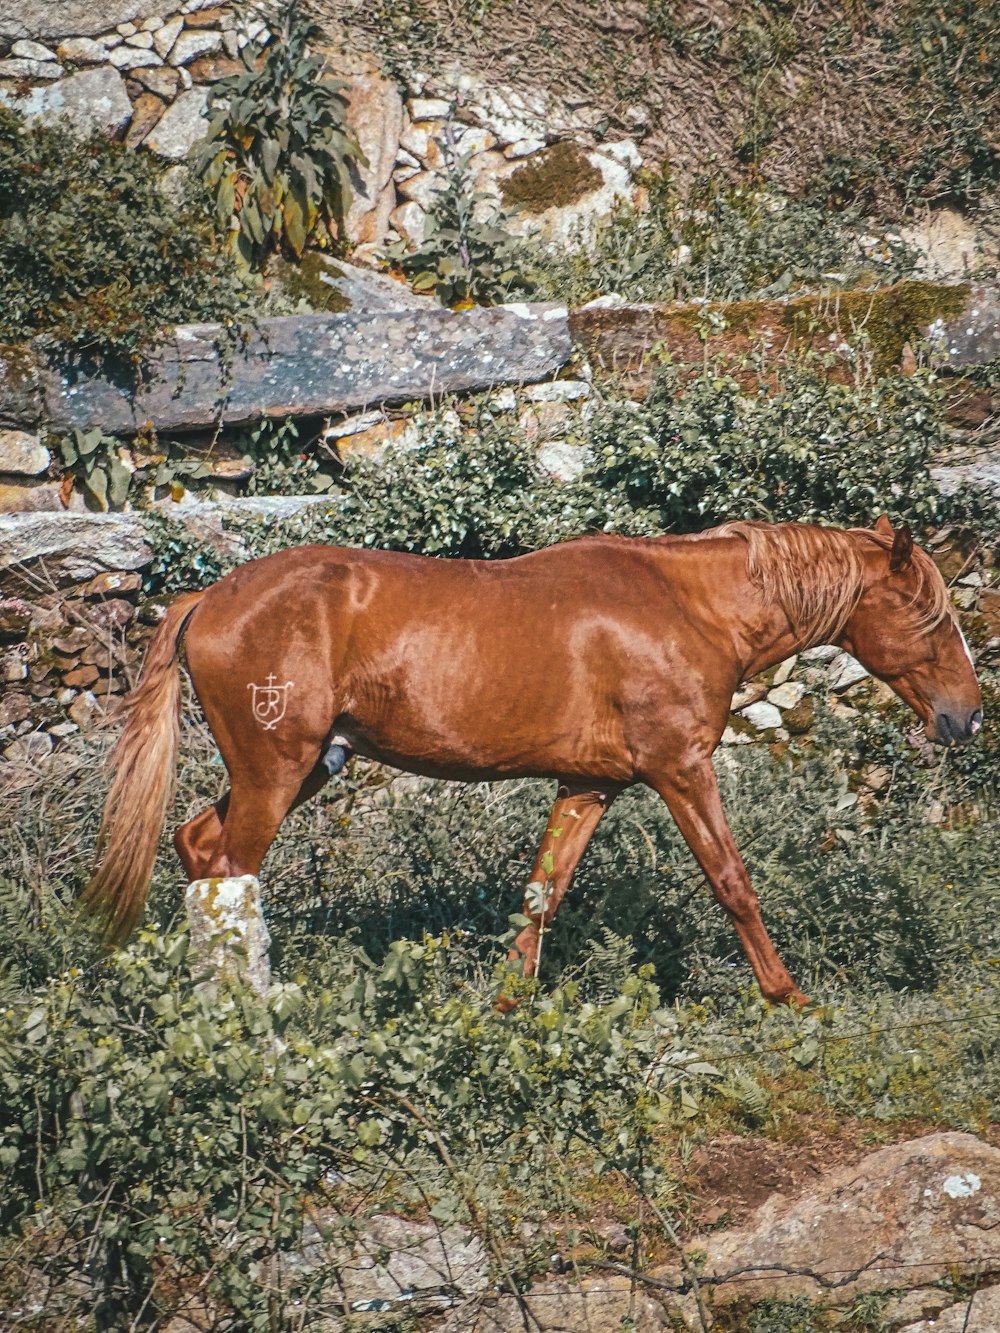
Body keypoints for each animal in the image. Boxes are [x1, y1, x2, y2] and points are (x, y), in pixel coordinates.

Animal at [82, 514, 981, 1002]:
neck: (687, 606)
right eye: (932, 617)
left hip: (301, 770)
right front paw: (788, 995)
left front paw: (510, 1005)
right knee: (231, 876)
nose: (967, 716)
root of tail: (209, 597)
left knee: (199, 848)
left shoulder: (588, 786)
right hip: (275, 774)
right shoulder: (680, 770)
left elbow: (542, 894)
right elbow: (733, 881)